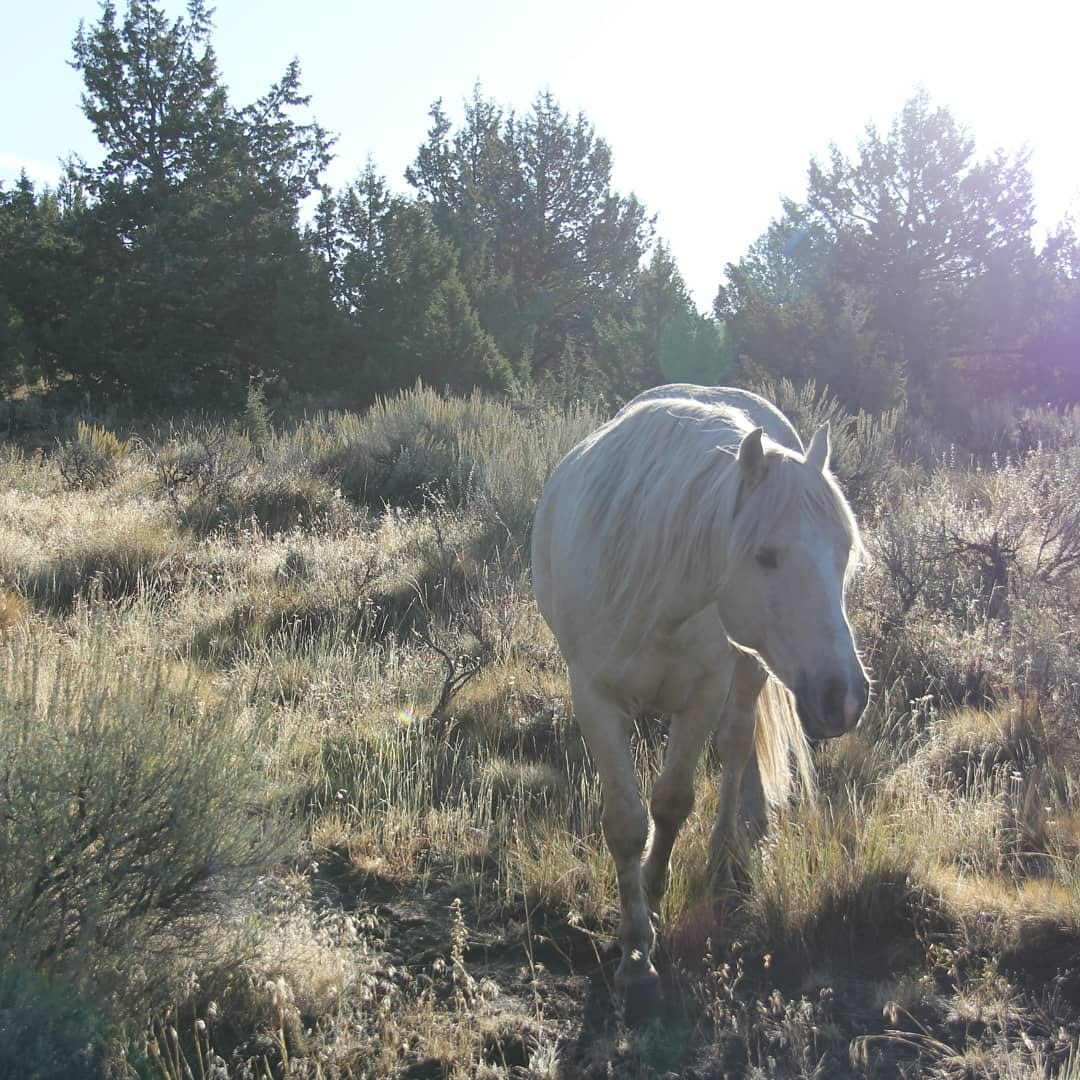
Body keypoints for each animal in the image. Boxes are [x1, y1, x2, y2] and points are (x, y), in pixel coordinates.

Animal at [531, 384, 869, 1016]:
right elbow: (625, 821)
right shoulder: (593, 696)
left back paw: (725, 855)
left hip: (751, 665)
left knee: (736, 747)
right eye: (765, 555)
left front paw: (648, 916)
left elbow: (671, 802)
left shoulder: (702, 696)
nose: (846, 697)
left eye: (844, 552)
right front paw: (635, 955)